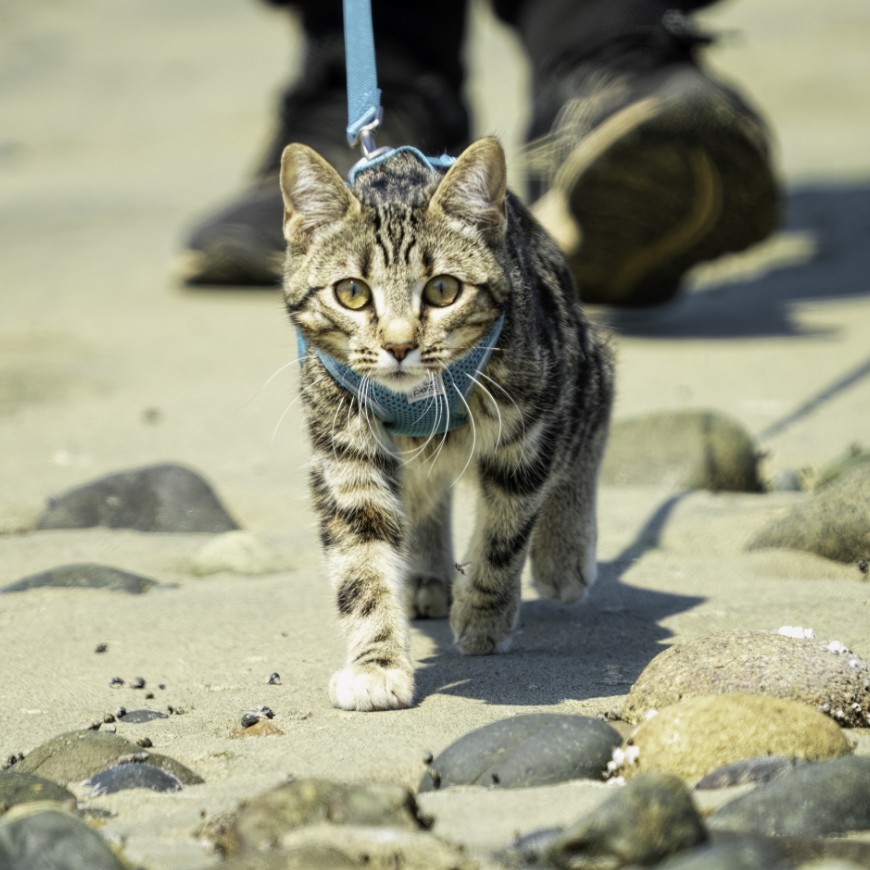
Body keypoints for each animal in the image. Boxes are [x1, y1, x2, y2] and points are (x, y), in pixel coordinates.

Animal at [280, 135, 612, 708]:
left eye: (442, 291)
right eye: (351, 292)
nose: (398, 346)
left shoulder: (528, 426)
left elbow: (505, 533)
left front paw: (485, 616)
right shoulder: (343, 445)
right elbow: (362, 559)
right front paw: (377, 664)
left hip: (574, 357)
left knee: (597, 402)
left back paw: (562, 554)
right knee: (422, 485)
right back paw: (425, 576)